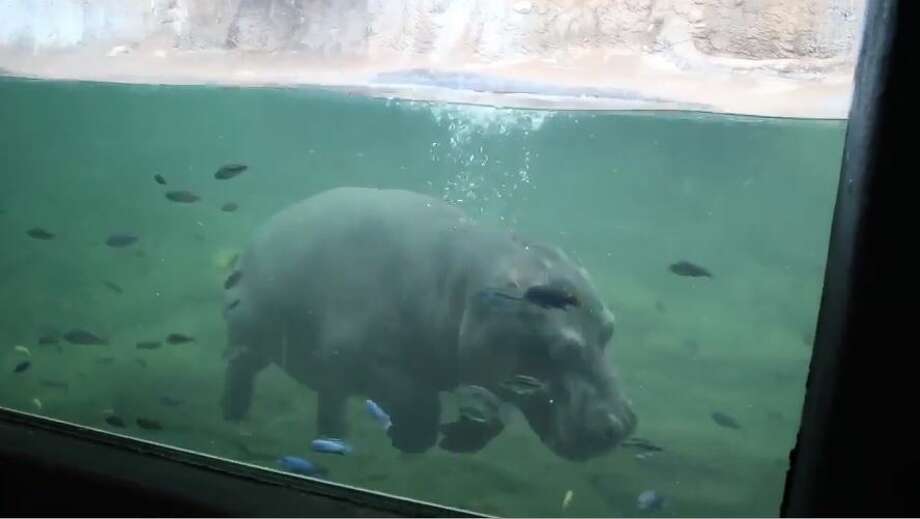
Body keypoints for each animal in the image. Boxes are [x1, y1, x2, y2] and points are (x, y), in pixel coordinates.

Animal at [222, 188, 636, 464]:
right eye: (564, 347)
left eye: (610, 328)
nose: (621, 425)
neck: (464, 281)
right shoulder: (363, 356)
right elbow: (417, 399)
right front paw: (411, 439)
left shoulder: (487, 368)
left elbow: (490, 413)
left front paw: (458, 439)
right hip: (249, 333)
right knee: (240, 368)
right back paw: (233, 416)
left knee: (330, 400)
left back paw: (333, 439)